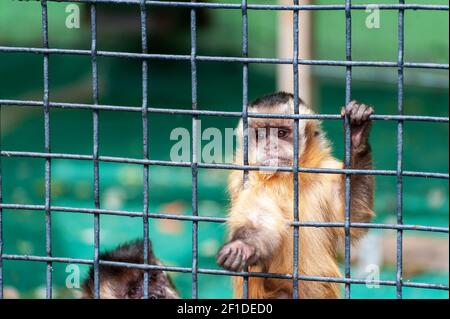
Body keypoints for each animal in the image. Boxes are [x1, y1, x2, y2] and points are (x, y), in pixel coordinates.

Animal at [216, 92, 374, 300]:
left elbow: (353, 220)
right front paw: (243, 246)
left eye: (282, 133)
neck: (288, 177)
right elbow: (259, 220)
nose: (270, 146)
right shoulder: (248, 179)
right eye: (261, 135)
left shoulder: (325, 171)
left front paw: (356, 136)